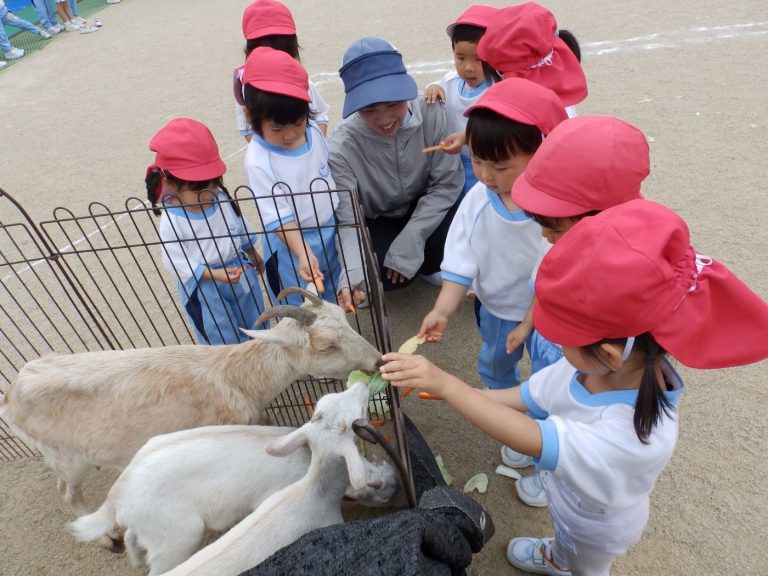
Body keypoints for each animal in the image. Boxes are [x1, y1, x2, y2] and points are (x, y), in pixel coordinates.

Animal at [0, 288, 382, 512]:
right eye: (326, 346)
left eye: (345, 317)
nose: (377, 360)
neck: (236, 377)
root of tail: (12, 395)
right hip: (67, 456)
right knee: (69, 493)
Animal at [70, 420, 402, 572]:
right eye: (378, 492)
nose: (396, 486)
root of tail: (117, 496)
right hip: (179, 535)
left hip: (152, 523)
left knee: (131, 536)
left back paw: (136, 560)